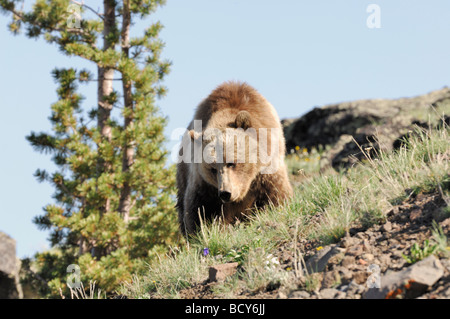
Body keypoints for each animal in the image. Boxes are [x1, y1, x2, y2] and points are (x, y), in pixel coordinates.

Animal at [176, 82, 296, 238]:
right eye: (212, 169)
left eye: (231, 163)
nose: (226, 193)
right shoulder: (204, 185)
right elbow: (200, 210)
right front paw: (203, 232)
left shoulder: (267, 169)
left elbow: (276, 194)